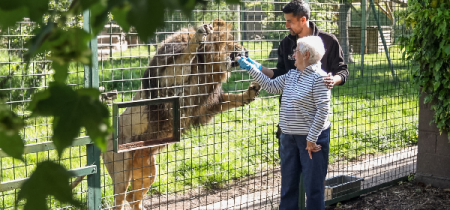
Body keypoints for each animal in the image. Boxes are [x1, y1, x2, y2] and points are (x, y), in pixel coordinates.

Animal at [81, 18, 260, 209]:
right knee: (120, 200)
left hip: (148, 170)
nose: (247, 50)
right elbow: (185, 57)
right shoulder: (168, 81)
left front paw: (251, 92)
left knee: (133, 198)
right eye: (233, 41)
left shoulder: (205, 105)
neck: (209, 65)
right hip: (121, 170)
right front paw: (199, 36)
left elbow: (231, 99)